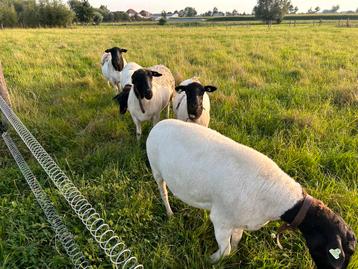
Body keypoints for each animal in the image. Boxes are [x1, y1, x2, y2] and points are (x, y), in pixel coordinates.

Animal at [147, 119, 356, 268]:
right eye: (338, 257)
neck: (278, 198)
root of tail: (159, 124)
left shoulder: (239, 220)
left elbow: (235, 242)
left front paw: (232, 255)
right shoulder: (221, 219)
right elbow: (225, 249)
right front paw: (211, 260)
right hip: (156, 170)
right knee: (163, 192)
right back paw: (169, 213)